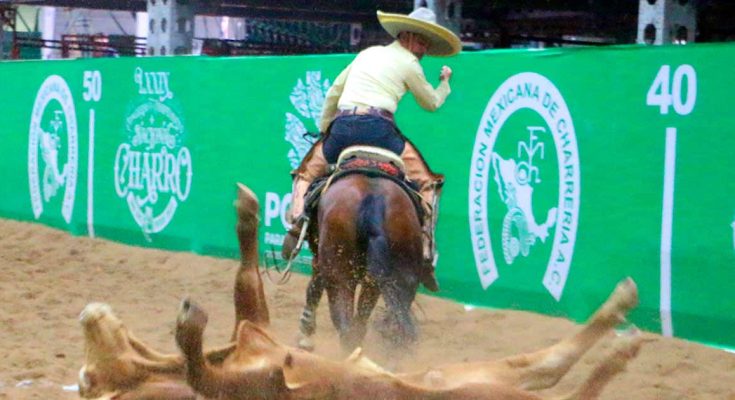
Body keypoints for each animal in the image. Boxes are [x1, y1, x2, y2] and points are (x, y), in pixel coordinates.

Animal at [298, 170, 426, 354]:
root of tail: (373, 201)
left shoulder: (320, 260)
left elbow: (314, 288)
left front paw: (306, 332)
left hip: (339, 276)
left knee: (344, 324)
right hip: (401, 276)